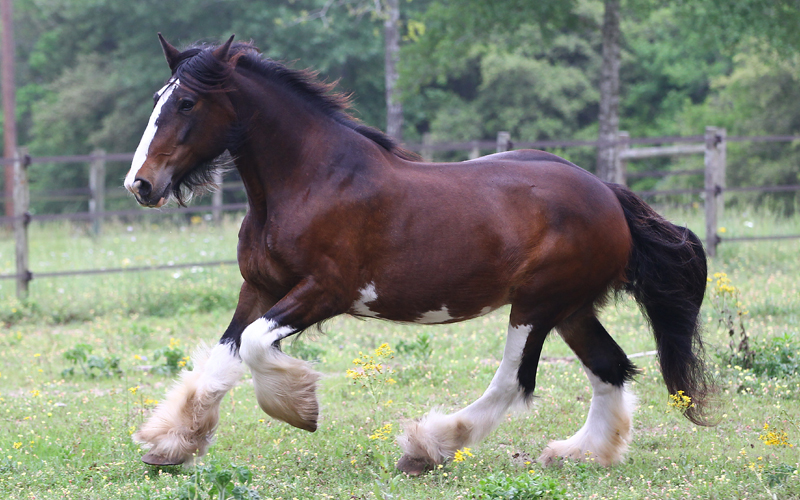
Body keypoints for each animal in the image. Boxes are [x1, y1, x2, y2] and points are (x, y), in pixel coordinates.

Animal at [125, 34, 712, 472]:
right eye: (156, 99)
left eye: (187, 102)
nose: (141, 185)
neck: (312, 181)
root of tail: (607, 194)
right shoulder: (260, 287)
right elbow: (223, 358)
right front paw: (171, 445)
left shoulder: (324, 291)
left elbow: (253, 346)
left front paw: (299, 409)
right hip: (570, 309)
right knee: (609, 368)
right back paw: (580, 454)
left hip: (537, 305)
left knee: (513, 381)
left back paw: (428, 447)